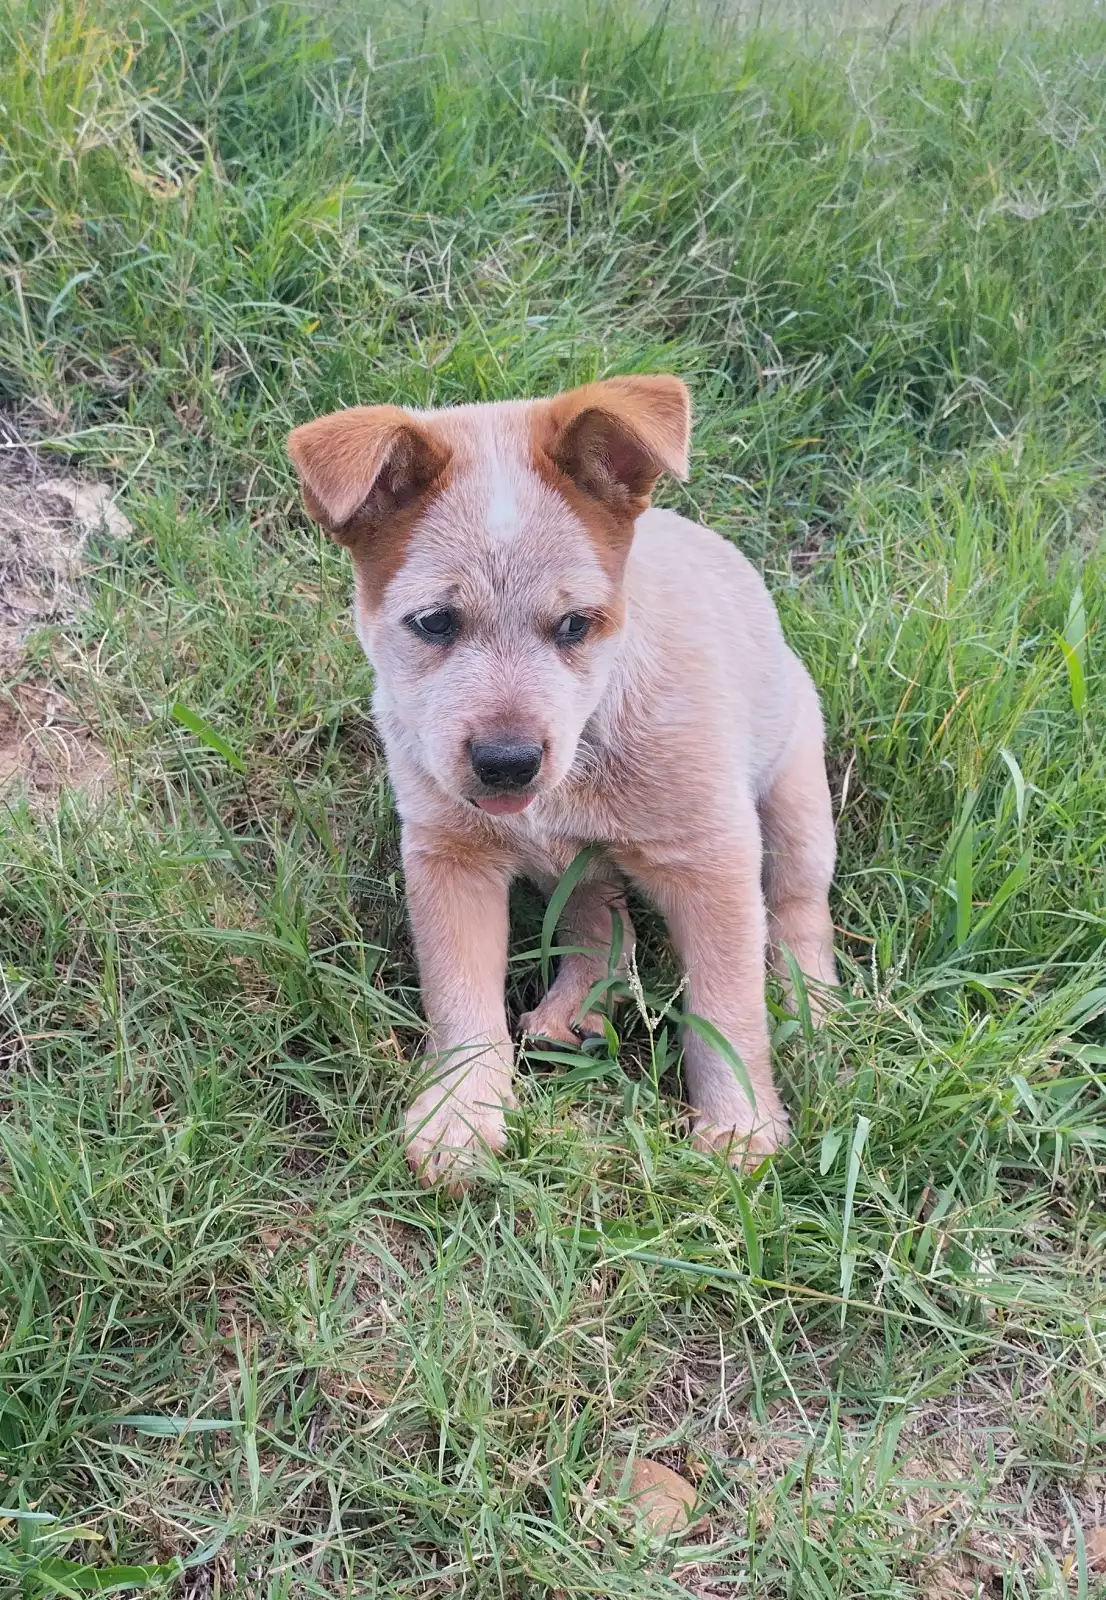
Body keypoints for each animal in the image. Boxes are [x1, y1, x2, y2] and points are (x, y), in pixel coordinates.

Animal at [288, 376, 837, 1189]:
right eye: (434, 622)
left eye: (576, 625)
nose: (508, 761)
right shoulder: (449, 856)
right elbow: (460, 994)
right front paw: (460, 1113)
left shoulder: (713, 858)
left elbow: (728, 1006)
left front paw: (741, 1127)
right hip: (576, 865)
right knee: (603, 926)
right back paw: (569, 1013)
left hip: (797, 791)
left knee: (799, 907)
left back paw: (815, 1011)